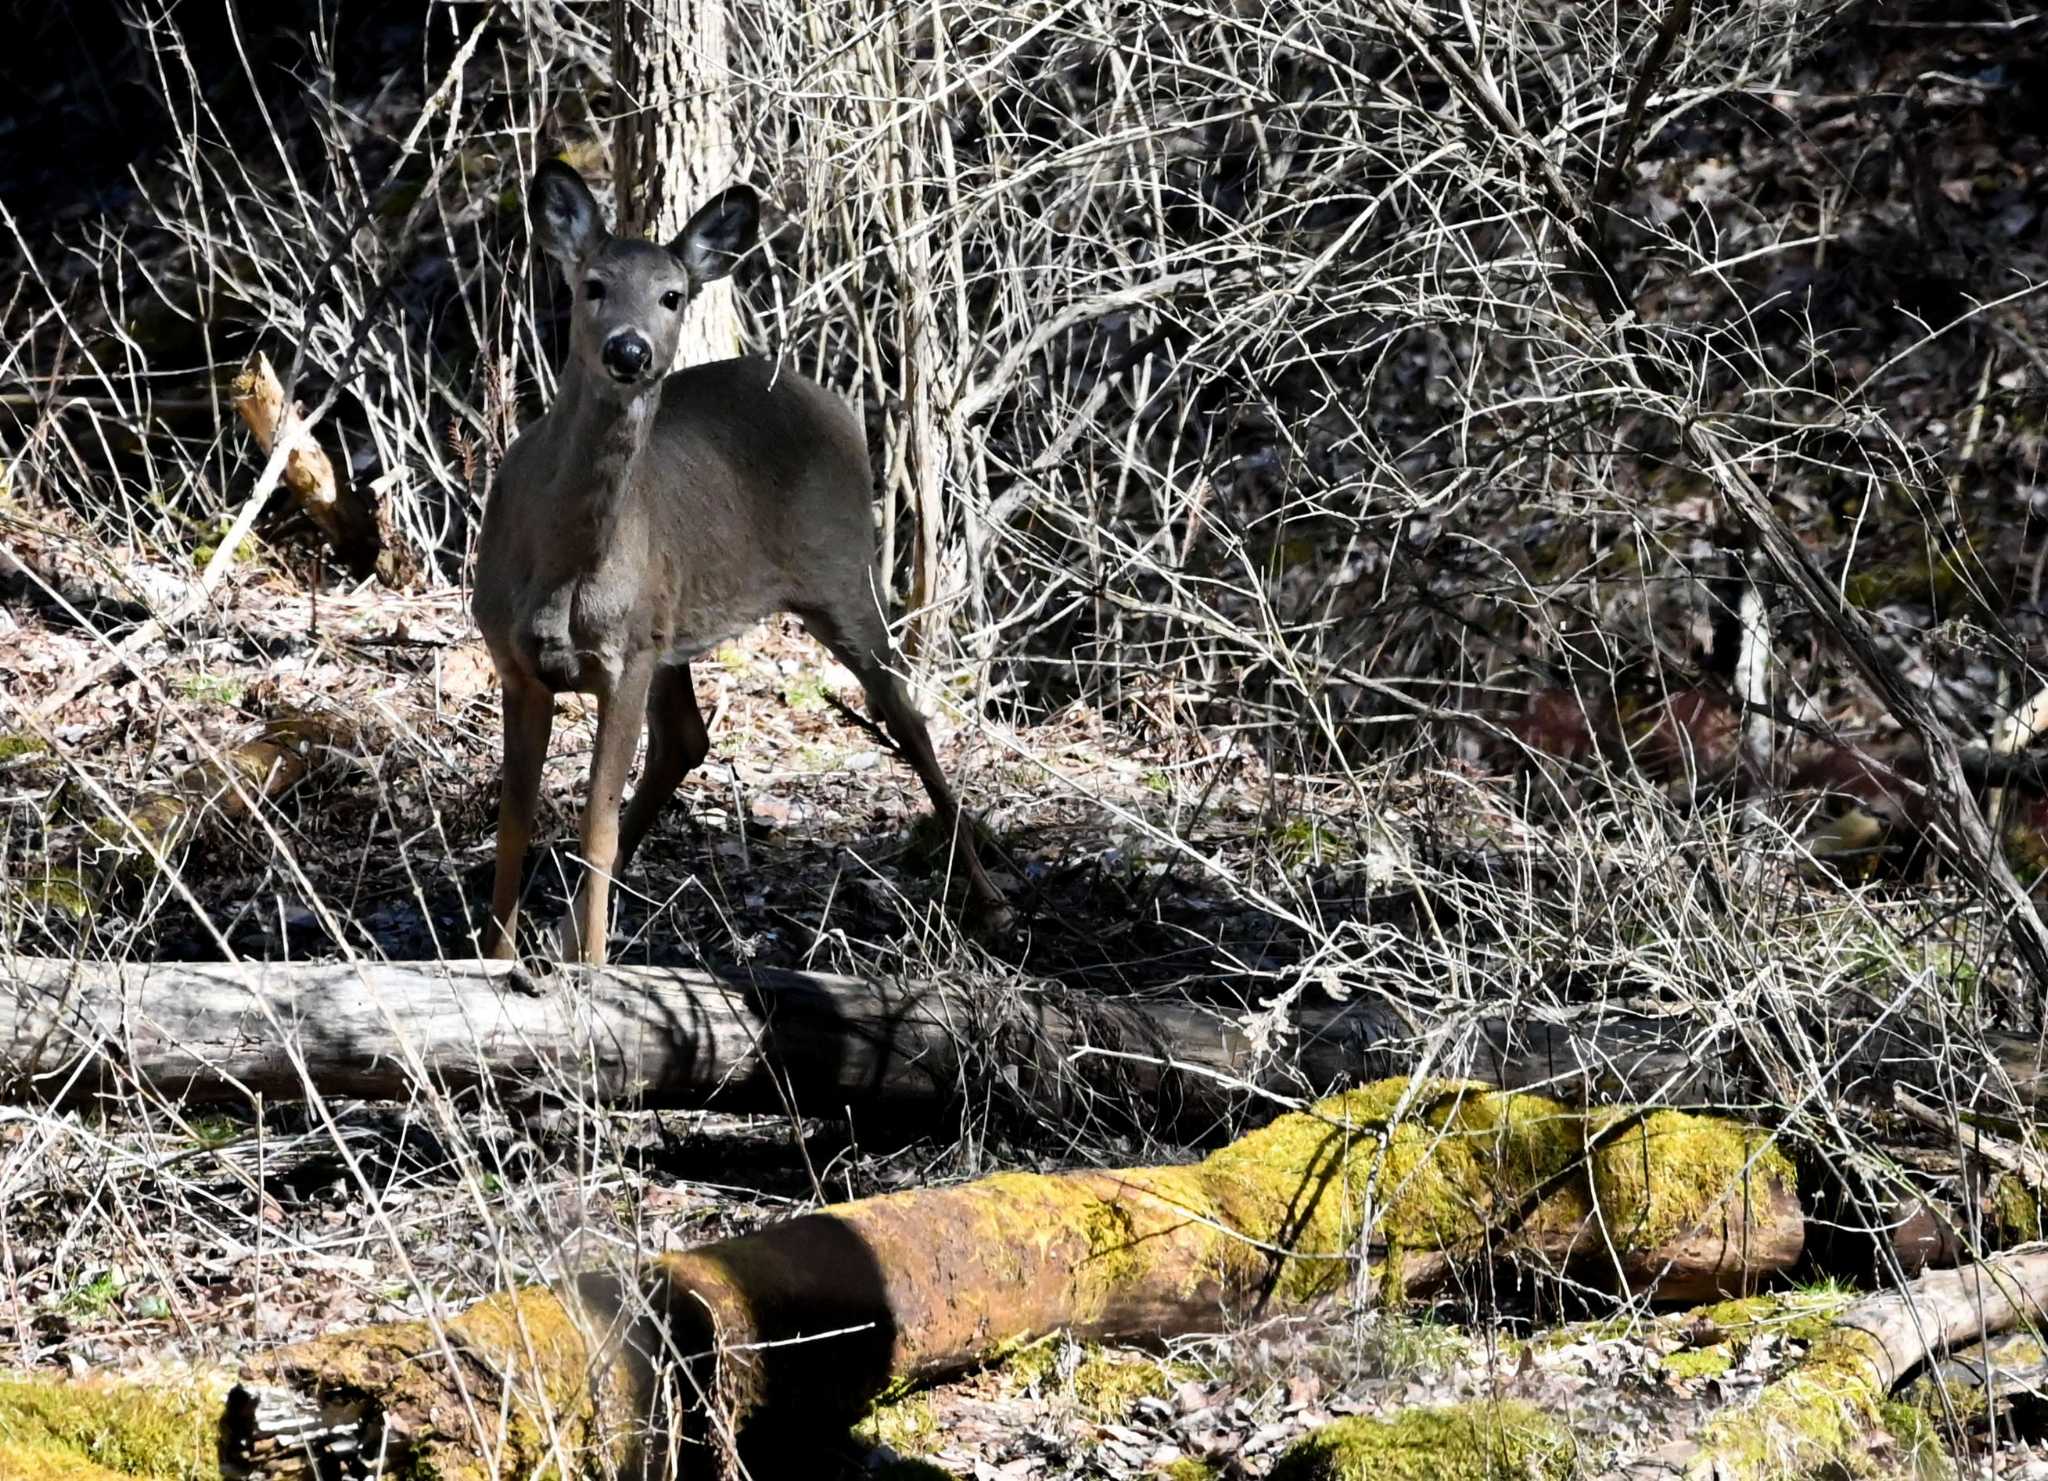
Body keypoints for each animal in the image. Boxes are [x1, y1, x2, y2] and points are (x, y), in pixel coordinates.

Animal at [466, 161, 1007, 966]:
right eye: (593, 284)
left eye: (672, 295)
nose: (630, 351)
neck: (558, 566)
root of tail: (834, 401)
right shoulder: (517, 661)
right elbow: (514, 823)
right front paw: (496, 960)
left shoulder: (625, 657)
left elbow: (594, 824)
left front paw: (589, 967)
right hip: (675, 622)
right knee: (687, 738)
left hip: (841, 574)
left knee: (905, 713)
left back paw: (990, 896)